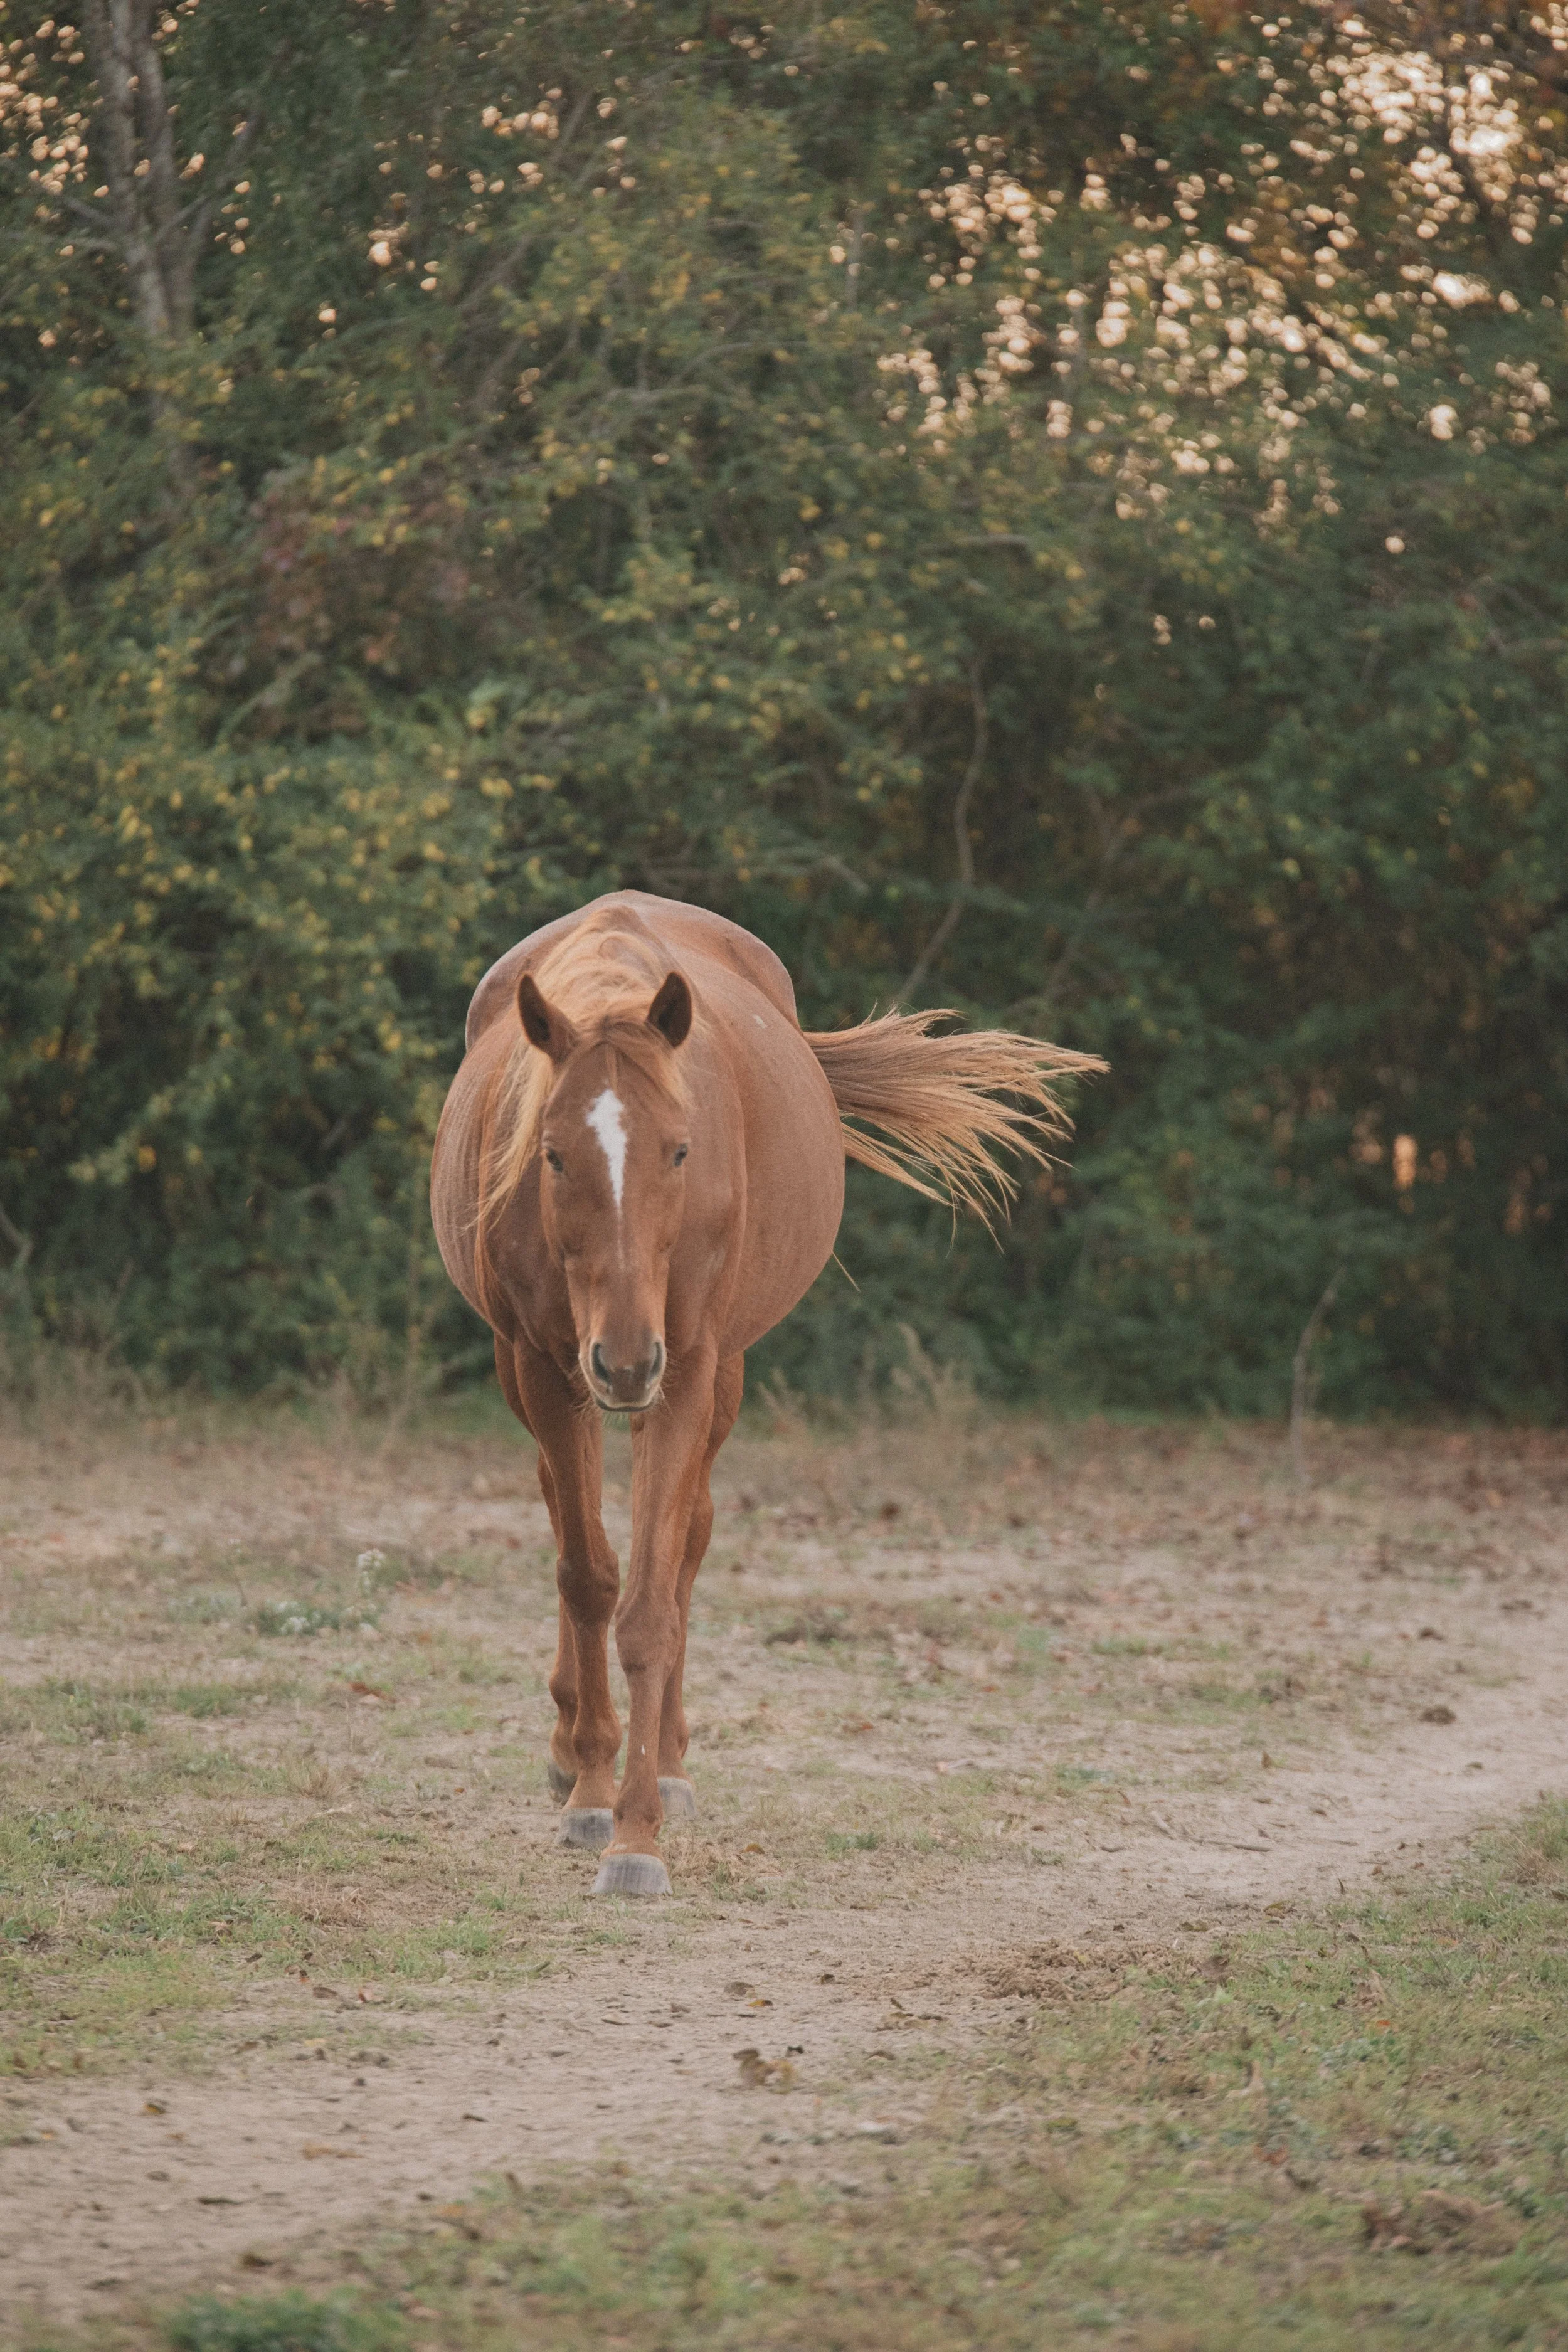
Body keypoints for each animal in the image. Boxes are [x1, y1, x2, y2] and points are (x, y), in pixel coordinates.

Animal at [430, 891, 1102, 1895]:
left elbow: (650, 1605)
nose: (624, 1362)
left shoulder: (688, 1370)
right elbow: (589, 1577)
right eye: (551, 1155)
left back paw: (669, 1763)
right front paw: (590, 1788)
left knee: (688, 1546)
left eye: (679, 1151)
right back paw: (572, 1747)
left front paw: (638, 1830)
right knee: (566, 1515)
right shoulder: (546, 1371)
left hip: (715, 1377)